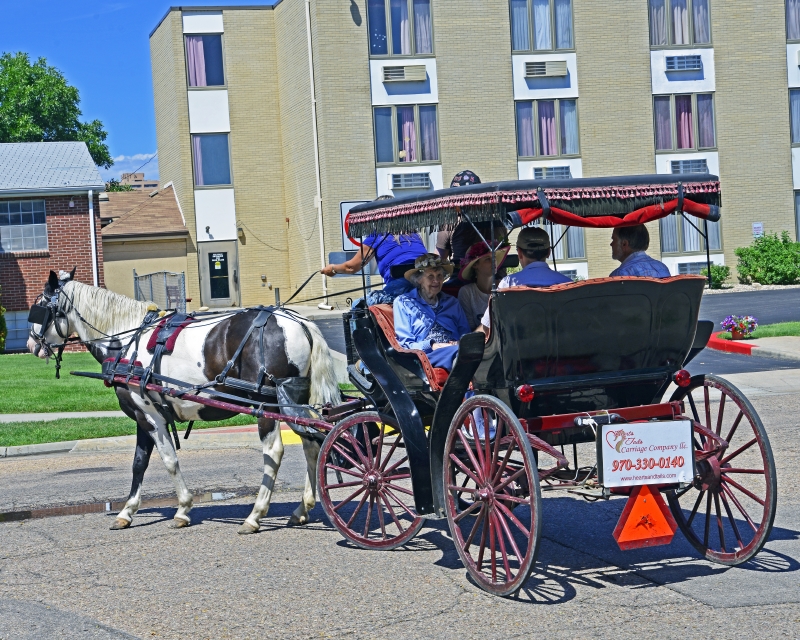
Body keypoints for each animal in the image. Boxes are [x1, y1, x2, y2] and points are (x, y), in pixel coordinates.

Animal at [27, 270, 341, 532]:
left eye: (39, 306)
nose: (31, 345)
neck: (126, 341)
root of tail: (300, 322)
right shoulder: (144, 416)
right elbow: (139, 462)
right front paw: (127, 512)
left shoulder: (150, 416)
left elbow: (168, 460)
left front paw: (182, 509)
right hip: (296, 402)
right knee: (313, 445)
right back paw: (301, 509)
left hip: (267, 405)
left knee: (274, 452)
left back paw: (255, 515)